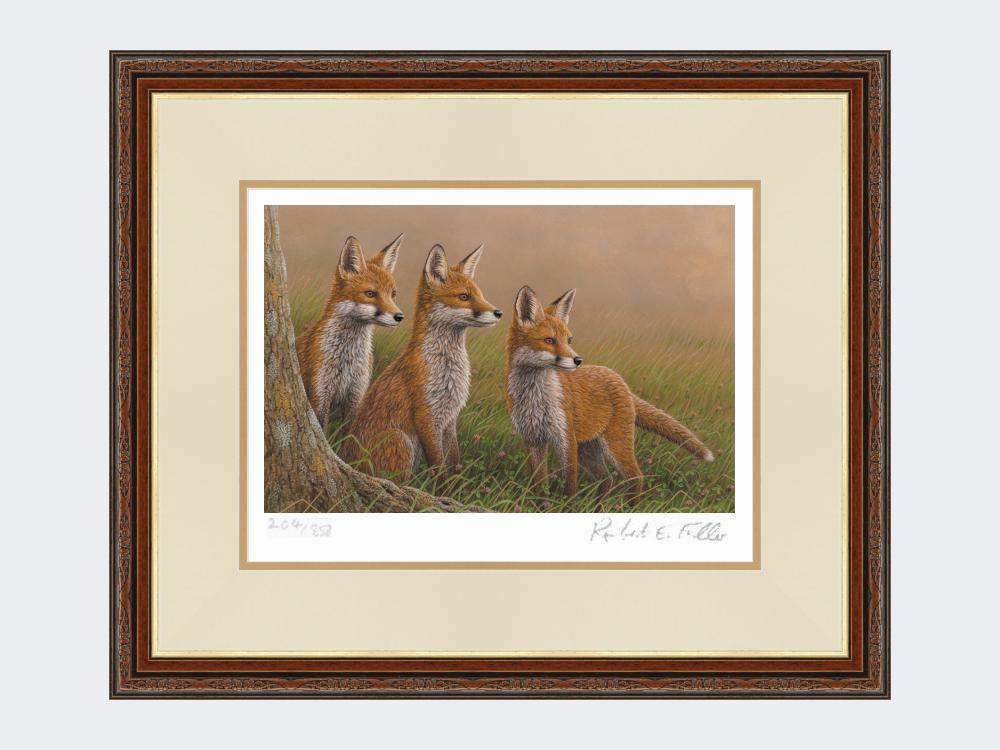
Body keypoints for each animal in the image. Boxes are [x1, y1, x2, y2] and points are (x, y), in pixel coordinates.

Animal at [295, 233, 404, 431]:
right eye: (370, 294)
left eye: (393, 294)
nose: (399, 316)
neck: (347, 360)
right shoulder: (320, 395)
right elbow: (322, 431)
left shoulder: (356, 396)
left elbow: (349, 434)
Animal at [342, 243, 502, 481]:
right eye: (464, 296)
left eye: (480, 295)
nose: (499, 312)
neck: (446, 368)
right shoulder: (426, 416)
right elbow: (439, 468)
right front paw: (442, 490)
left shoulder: (450, 419)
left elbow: (454, 462)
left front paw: (455, 487)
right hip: (399, 439)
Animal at [505, 285, 714, 499]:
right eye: (549, 340)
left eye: (569, 340)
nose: (578, 360)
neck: (535, 397)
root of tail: (619, 379)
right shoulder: (533, 439)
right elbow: (539, 485)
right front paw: (540, 503)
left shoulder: (565, 439)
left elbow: (569, 486)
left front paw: (566, 505)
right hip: (588, 449)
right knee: (607, 479)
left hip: (615, 445)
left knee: (635, 477)